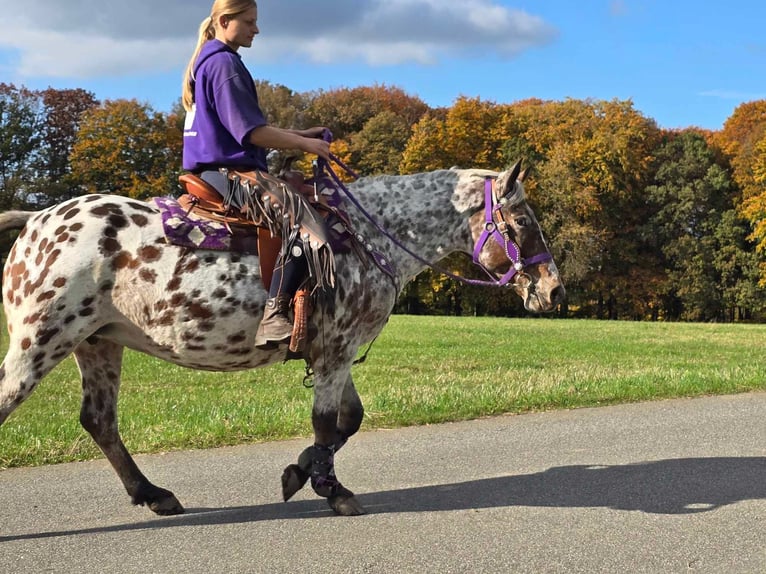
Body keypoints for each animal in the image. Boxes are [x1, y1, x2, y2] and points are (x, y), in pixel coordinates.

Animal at [0, 161, 564, 516]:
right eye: (521, 221)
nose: (554, 290)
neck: (367, 238)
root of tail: (37, 218)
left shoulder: (335, 353)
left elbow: (347, 422)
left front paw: (300, 472)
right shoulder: (335, 352)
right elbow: (326, 423)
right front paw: (332, 490)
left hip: (98, 342)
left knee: (100, 421)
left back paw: (155, 494)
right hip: (41, 342)